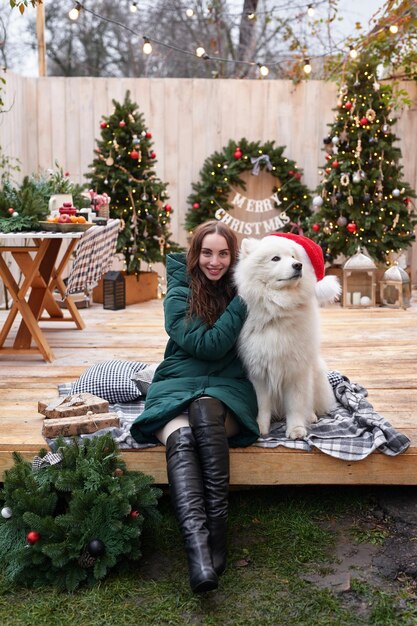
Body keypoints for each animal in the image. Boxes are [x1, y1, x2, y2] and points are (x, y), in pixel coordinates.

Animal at [236, 233, 340, 438]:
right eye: (275, 258)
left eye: (293, 257)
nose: (298, 265)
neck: (278, 312)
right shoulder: (259, 373)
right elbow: (262, 405)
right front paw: (260, 427)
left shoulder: (296, 370)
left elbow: (296, 405)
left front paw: (296, 429)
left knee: (311, 404)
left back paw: (311, 416)